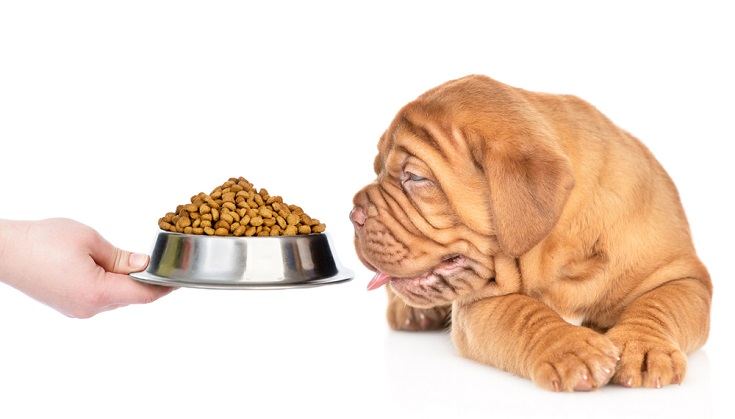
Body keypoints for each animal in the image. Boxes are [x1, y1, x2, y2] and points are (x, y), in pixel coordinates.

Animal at [350, 74, 712, 392]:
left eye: (415, 177)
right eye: (377, 169)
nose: (353, 215)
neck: (563, 250)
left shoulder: (683, 277)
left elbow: (659, 305)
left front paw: (644, 348)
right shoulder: (480, 302)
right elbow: (524, 313)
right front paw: (571, 349)